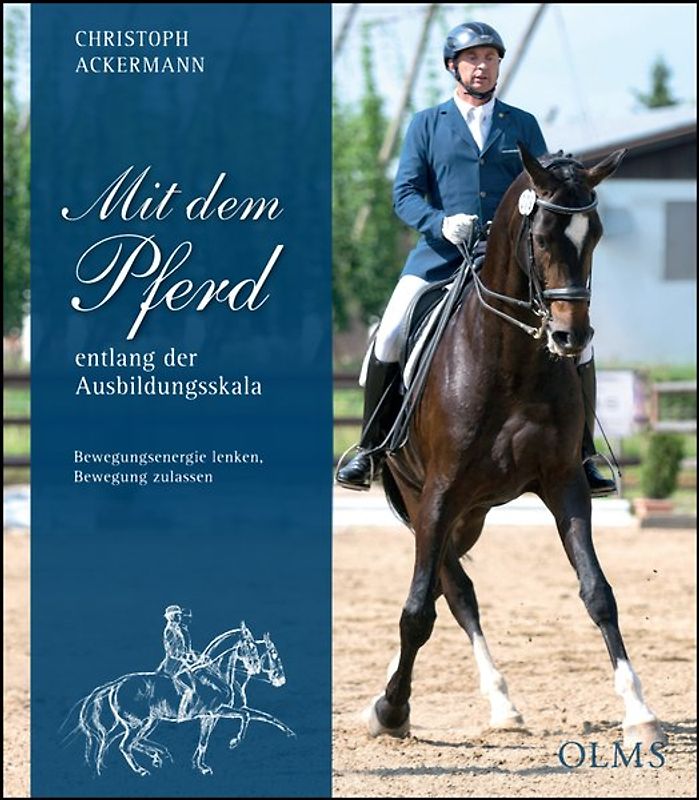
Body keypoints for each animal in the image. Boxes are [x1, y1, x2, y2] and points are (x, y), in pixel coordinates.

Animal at [363, 144, 667, 750]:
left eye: (595, 235)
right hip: (423, 498)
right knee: (449, 591)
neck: (512, 360)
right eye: (544, 237)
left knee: (452, 589)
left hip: (471, 515)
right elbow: (416, 611)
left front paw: (638, 710)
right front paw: (392, 710)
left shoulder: (564, 484)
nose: (572, 338)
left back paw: (498, 703)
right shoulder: (438, 493)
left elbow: (598, 593)